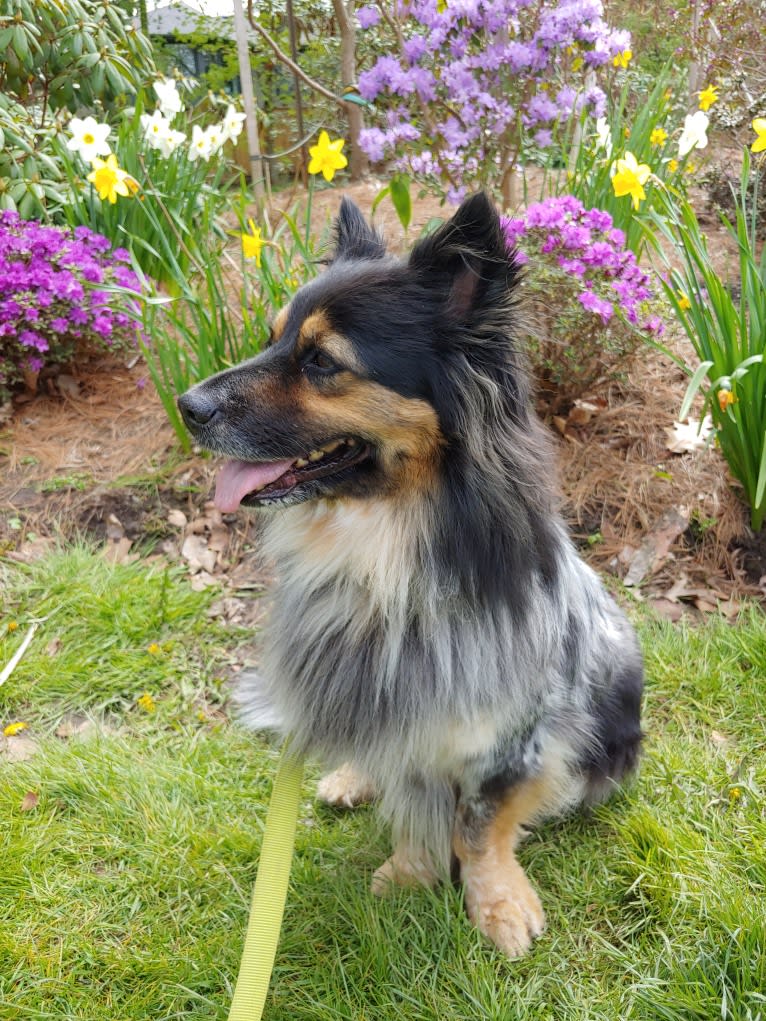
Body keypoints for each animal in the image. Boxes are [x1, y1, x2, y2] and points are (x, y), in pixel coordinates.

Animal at [178, 191, 641, 955]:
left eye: (321, 361)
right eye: (272, 338)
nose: (187, 406)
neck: (388, 544)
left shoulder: (516, 727)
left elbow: (481, 824)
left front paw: (495, 902)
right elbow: (414, 794)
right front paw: (411, 870)